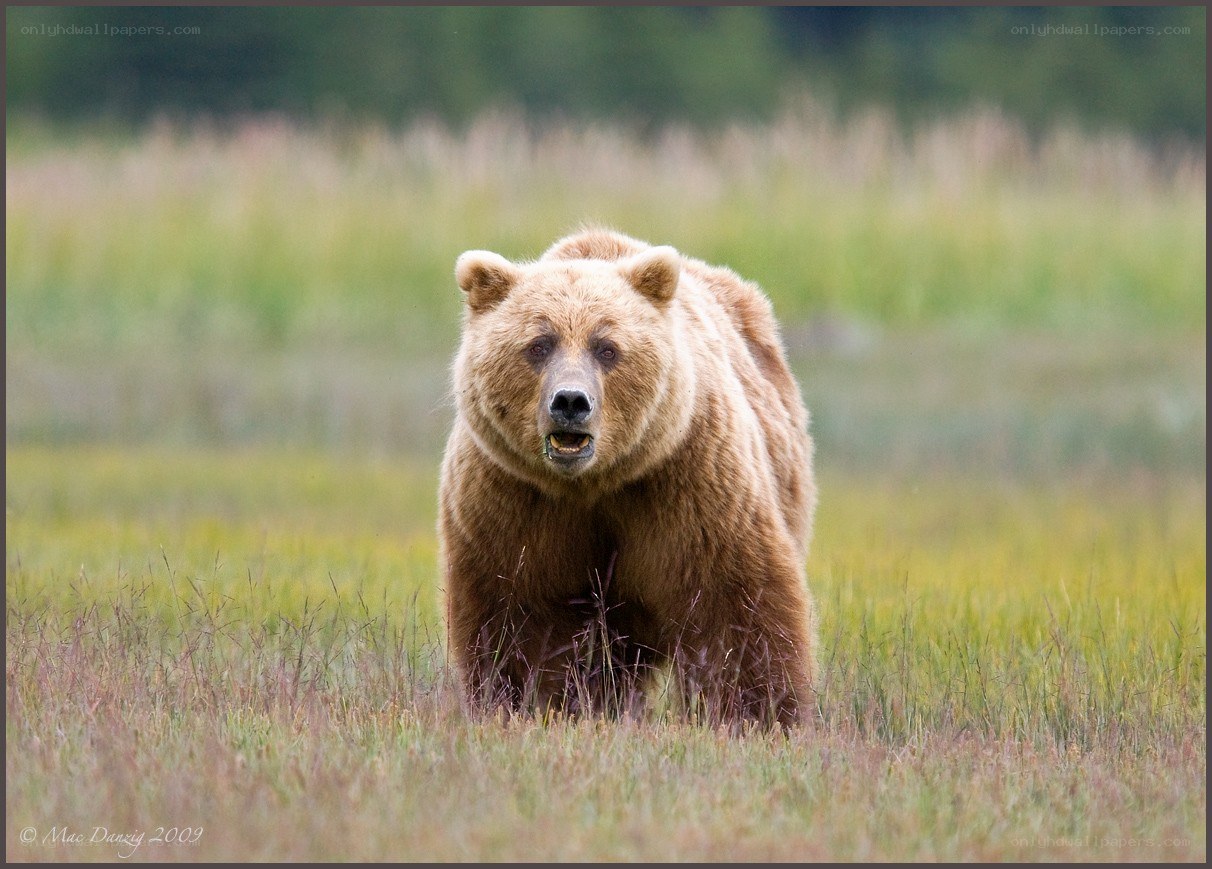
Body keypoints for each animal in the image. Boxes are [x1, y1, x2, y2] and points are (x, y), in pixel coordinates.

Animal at [438, 227, 817, 728]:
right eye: (539, 344)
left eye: (607, 348)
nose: (571, 401)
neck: (593, 483)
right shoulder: (511, 497)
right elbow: (511, 612)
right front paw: (522, 705)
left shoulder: (687, 481)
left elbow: (734, 604)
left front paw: (761, 715)